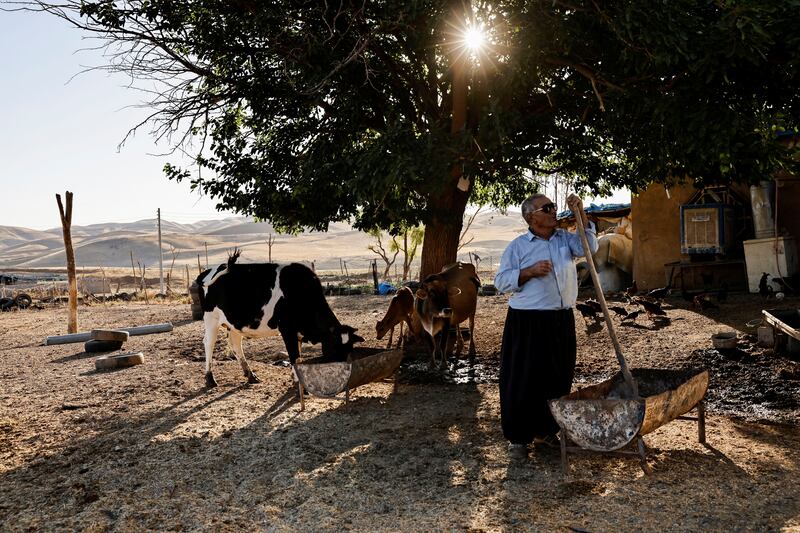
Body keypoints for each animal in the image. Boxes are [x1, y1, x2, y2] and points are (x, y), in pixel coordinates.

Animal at [195, 249, 364, 386]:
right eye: (334, 347)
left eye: (349, 349)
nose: (344, 373)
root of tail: (208, 270)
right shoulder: (287, 329)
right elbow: (294, 356)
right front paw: (298, 384)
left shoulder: (297, 333)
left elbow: (298, 356)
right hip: (211, 318)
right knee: (209, 343)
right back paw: (210, 379)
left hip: (234, 323)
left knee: (235, 344)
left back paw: (251, 376)